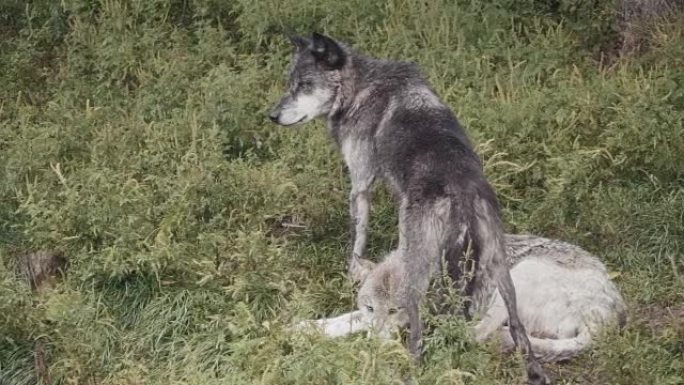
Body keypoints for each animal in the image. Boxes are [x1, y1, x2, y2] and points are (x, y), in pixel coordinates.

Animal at [270, 32, 548, 384]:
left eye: (304, 85)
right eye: (290, 83)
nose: (272, 116)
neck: (361, 85)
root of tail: (460, 190)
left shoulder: (360, 184)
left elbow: (356, 242)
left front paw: (351, 275)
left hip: (417, 277)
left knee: (416, 334)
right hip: (500, 272)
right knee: (517, 328)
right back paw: (533, 370)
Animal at [292, 232, 624, 362]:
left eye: (395, 310)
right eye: (371, 307)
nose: (375, 344)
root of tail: (611, 315)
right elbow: (346, 319)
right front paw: (302, 329)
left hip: (518, 273)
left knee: (477, 334)